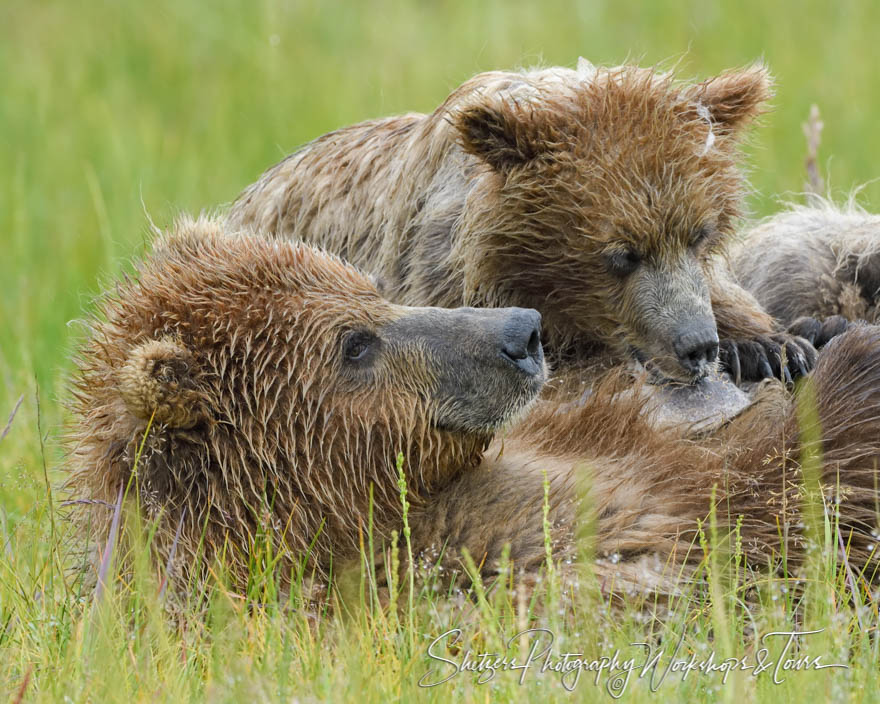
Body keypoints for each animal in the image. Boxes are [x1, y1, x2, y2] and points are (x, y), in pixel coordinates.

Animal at [67, 216, 880, 600]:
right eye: (354, 346)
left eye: (371, 288)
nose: (521, 332)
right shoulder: (482, 555)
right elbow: (782, 492)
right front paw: (846, 363)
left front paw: (799, 341)